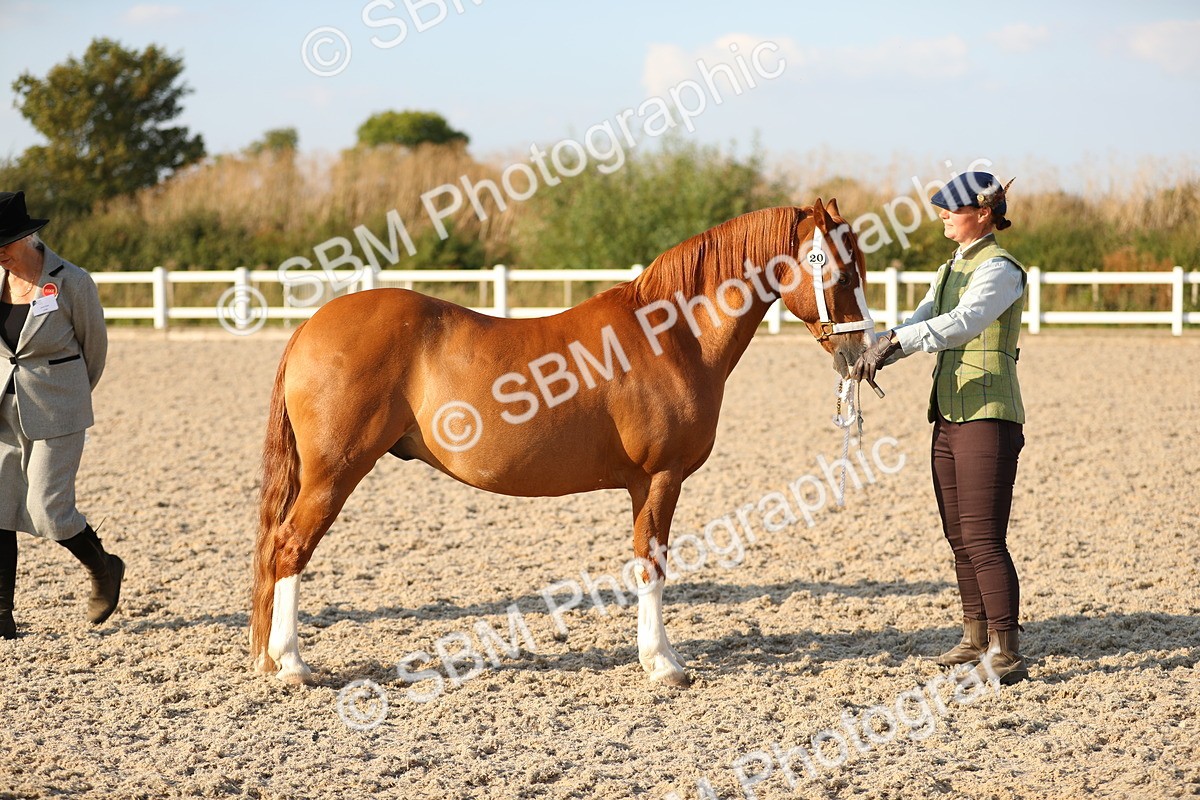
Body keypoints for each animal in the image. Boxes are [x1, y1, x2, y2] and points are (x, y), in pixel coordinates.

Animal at [250, 200, 876, 687]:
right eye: (843, 275)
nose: (866, 353)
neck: (674, 334)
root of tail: (310, 326)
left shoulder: (642, 485)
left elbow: (642, 562)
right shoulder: (662, 477)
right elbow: (653, 563)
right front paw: (664, 665)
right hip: (335, 473)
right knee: (289, 549)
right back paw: (292, 665)